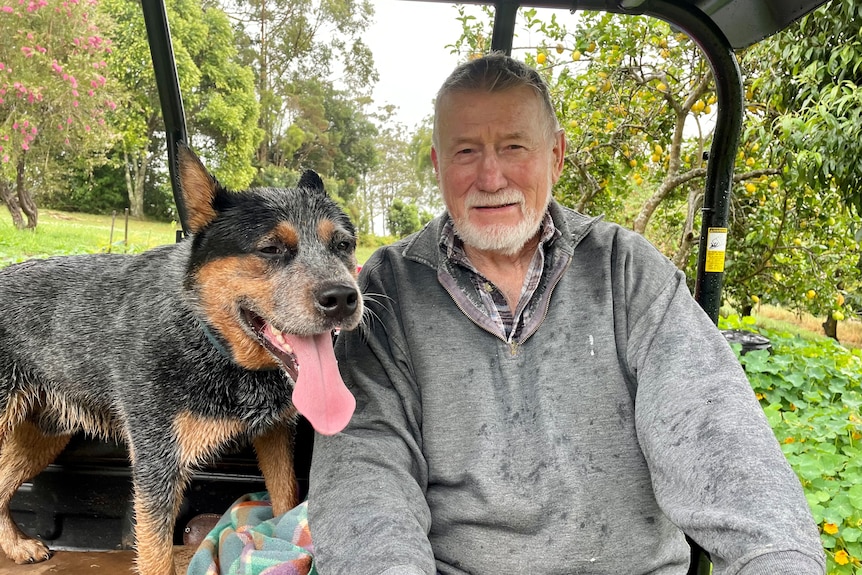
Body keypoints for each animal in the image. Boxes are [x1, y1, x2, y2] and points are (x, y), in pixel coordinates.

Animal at [0, 145, 362, 575]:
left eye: (343, 245)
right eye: (270, 248)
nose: (343, 298)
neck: (208, 336)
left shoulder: (274, 434)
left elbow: (285, 495)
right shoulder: (158, 458)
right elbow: (156, 551)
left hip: (43, 434)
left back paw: (16, 545)